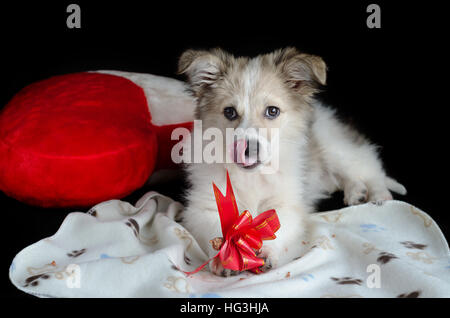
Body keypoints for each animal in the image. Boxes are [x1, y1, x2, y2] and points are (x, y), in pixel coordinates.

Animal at [177, 46, 408, 276]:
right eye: (229, 112)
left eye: (272, 111)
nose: (249, 149)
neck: (252, 177)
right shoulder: (203, 206)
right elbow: (217, 228)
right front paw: (226, 257)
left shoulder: (287, 204)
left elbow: (276, 228)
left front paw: (266, 252)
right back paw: (356, 192)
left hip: (335, 147)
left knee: (370, 168)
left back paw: (378, 195)